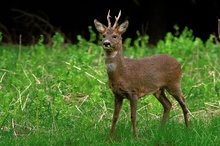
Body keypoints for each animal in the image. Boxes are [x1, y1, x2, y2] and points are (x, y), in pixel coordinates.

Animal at [93, 9, 190, 140]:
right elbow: (114, 117)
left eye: (115, 36)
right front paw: (109, 139)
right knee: (168, 105)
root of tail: (178, 63)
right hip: (158, 90)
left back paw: (188, 129)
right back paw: (159, 131)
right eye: (103, 35)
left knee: (183, 102)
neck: (121, 74)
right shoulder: (117, 94)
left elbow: (133, 116)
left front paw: (136, 138)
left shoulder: (134, 91)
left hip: (174, 83)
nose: (106, 43)